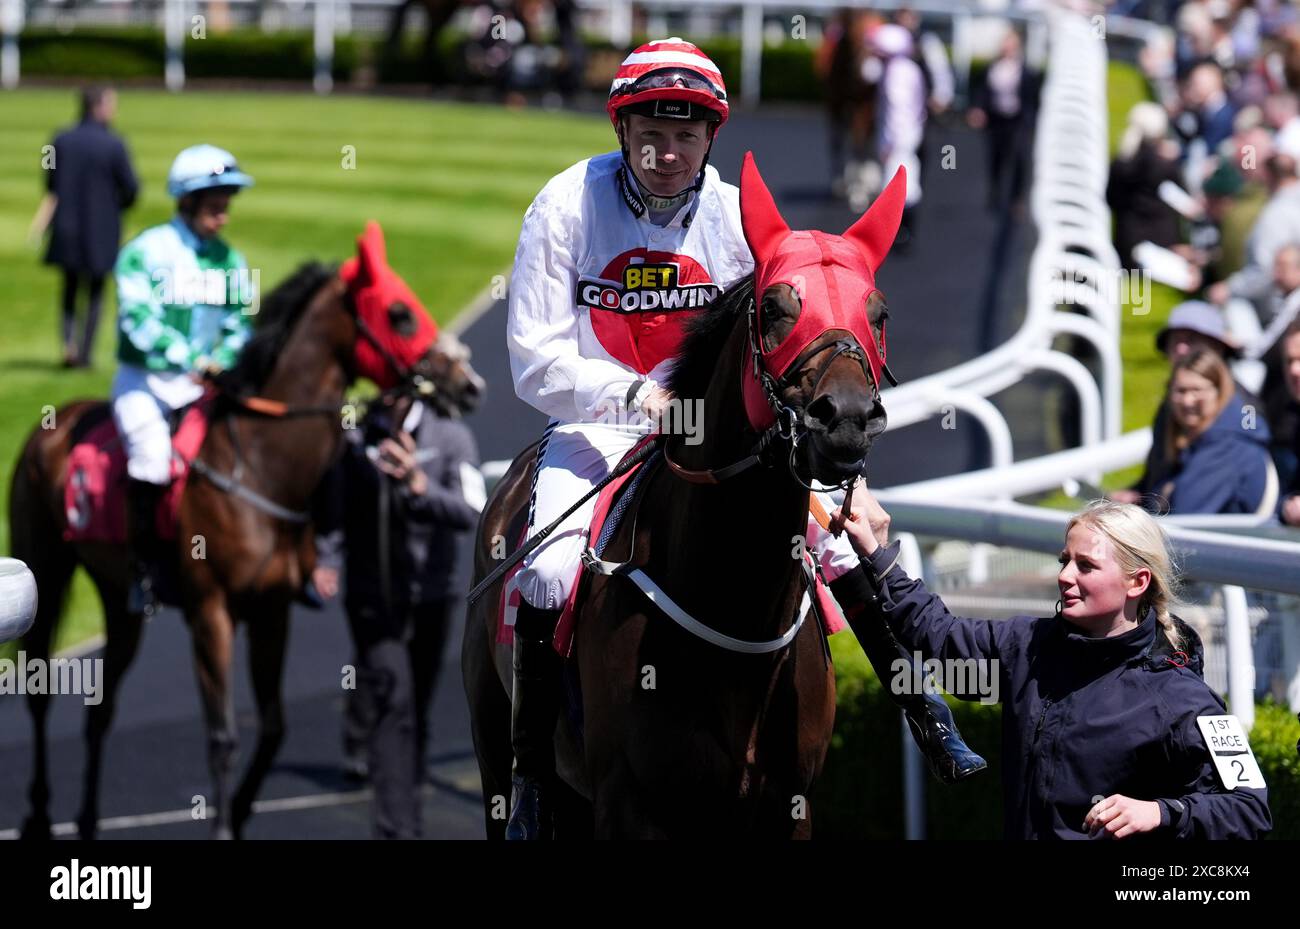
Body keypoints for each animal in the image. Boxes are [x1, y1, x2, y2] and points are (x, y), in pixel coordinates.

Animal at [12, 227, 480, 841]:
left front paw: (237, 813)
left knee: (101, 707)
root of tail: (53, 422)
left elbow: (275, 726)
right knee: (40, 694)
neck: (258, 466)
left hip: (119, 598)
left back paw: (87, 821)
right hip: (42, 568)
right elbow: (223, 736)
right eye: (400, 313)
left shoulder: (271, 610)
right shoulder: (210, 611)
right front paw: (221, 826)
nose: (469, 384)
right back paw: (38, 815)